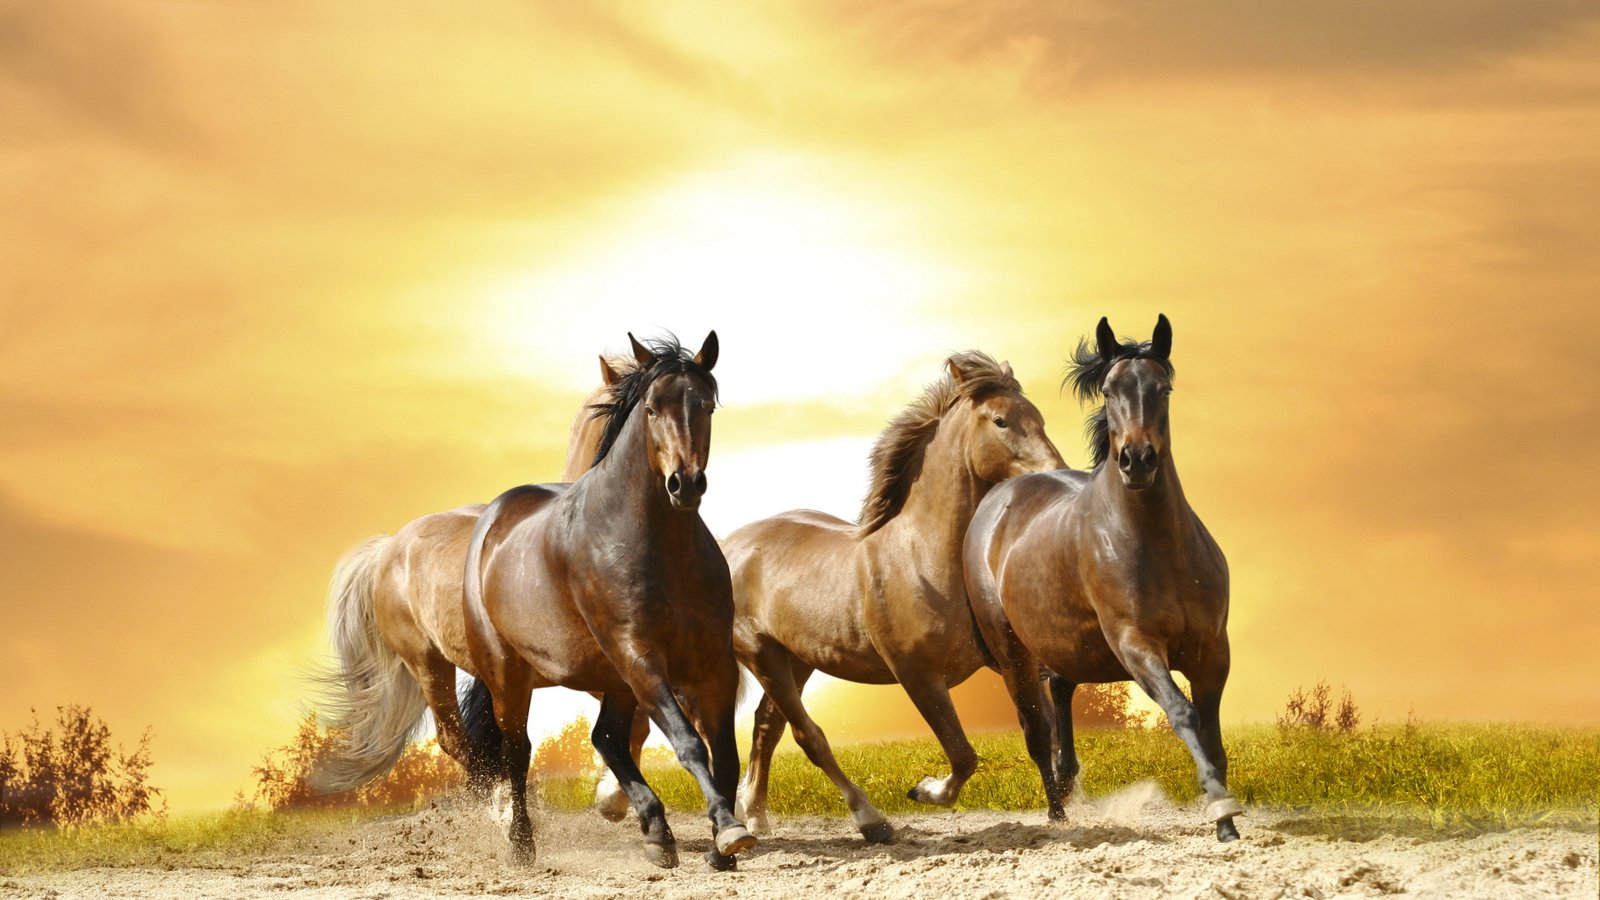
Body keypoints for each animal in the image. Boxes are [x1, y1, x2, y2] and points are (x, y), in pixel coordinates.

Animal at [460, 332, 755, 871]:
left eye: (706, 405)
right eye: (653, 408)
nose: (685, 484)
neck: (659, 546)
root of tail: (492, 520)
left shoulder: (713, 663)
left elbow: (723, 753)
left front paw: (722, 845)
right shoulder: (641, 656)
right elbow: (688, 744)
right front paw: (728, 830)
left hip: (613, 678)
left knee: (607, 738)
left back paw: (657, 832)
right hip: (511, 675)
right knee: (519, 751)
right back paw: (521, 845)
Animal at [724, 352, 1065, 842]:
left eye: (1038, 416)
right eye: (1001, 420)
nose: (1055, 473)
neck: (923, 557)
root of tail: (730, 545)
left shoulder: (1013, 661)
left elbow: (1041, 734)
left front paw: (1063, 812)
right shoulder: (917, 675)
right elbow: (963, 755)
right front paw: (924, 790)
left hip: (797, 661)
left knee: (766, 727)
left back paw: (754, 814)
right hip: (763, 656)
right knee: (808, 736)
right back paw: (872, 821)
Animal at [962, 314, 1245, 842]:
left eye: (1163, 388)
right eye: (1110, 391)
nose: (1137, 460)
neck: (1158, 545)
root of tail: (998, 498)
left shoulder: (1213, 651)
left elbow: (1213, 735)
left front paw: (1227, 819)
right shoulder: (1136, 644)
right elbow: (1184, 714)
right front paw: (1221, 809)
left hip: (1066, 645)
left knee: (1060, 696)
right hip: (1013, 655)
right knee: (1037, 733)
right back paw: (1057, 816)